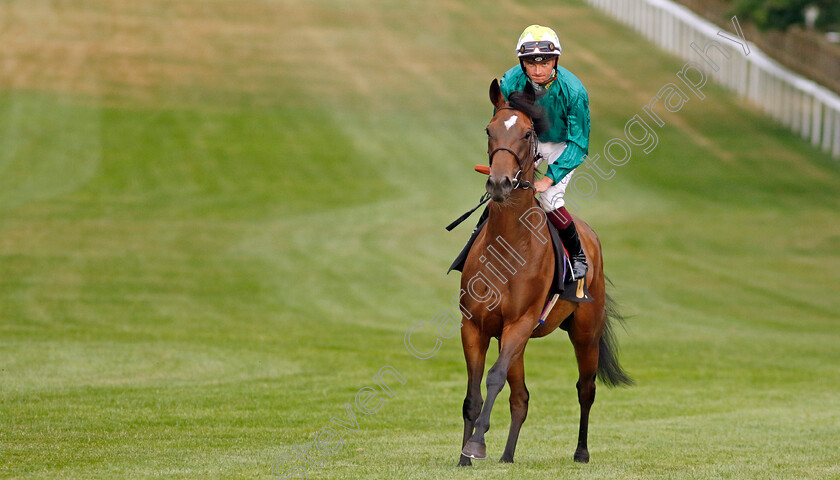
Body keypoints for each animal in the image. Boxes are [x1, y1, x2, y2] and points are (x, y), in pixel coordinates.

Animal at [460, 80, 632, 466]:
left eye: (527, 133)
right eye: (489, 129)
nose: (499, 183)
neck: (509, 246)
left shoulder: (520, 322)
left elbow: (494, 378)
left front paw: (477, 444)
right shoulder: (474, 325)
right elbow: (473, 395)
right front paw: (463, 457)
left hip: (585, 332)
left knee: (586, 389)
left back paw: (581, 452)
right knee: (520, 398)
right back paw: (508, 457)